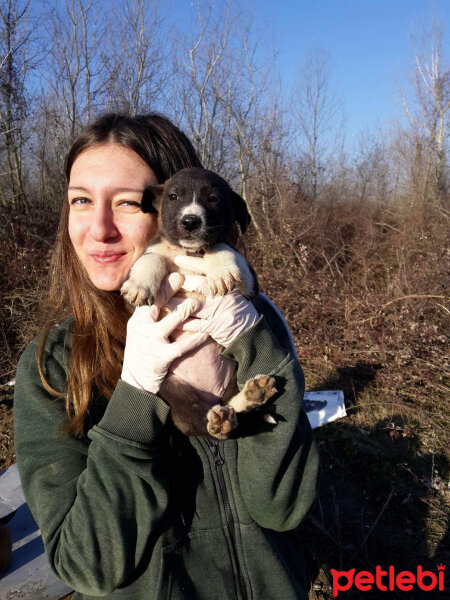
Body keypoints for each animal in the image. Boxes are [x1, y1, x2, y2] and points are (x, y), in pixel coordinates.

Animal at [123, 166, 276, 438]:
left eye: (213, 198)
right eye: (173, 197)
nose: (190, 221)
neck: (190, 252)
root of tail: (214, 397)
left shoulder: (250, 285)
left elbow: (221, 244)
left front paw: (222, 269)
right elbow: (153, 258)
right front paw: (141, 284)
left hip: (234, 372)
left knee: (232, 406)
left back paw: (251, 396)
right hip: (176, 396)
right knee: (204, 422)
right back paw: (221, 420)